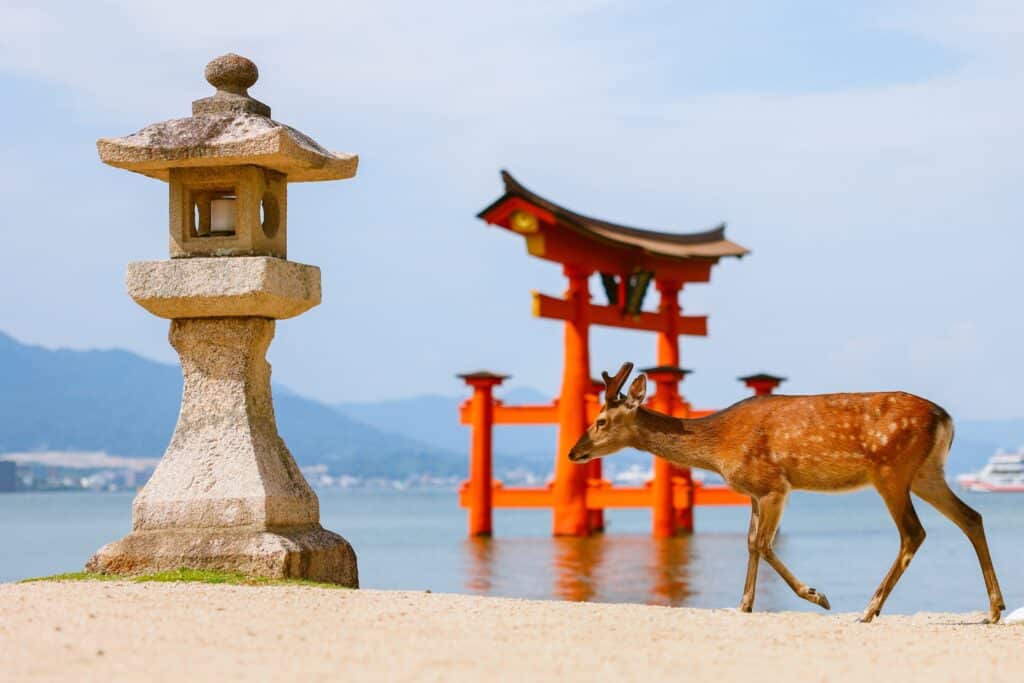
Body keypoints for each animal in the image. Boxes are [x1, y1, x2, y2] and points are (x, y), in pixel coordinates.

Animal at [568, 362, 1005, 623]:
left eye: (601, 420)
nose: (574, 452)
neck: (718, 446)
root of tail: (946, 418)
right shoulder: (753, 492)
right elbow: (750, 542)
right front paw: (744, 604)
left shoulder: (774, 484)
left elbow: (763, 544)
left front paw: (817, 595)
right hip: (927, 473)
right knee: (972, 516)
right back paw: (994, 610)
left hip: (891, 470)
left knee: (914, 531)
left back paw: (869, 609)